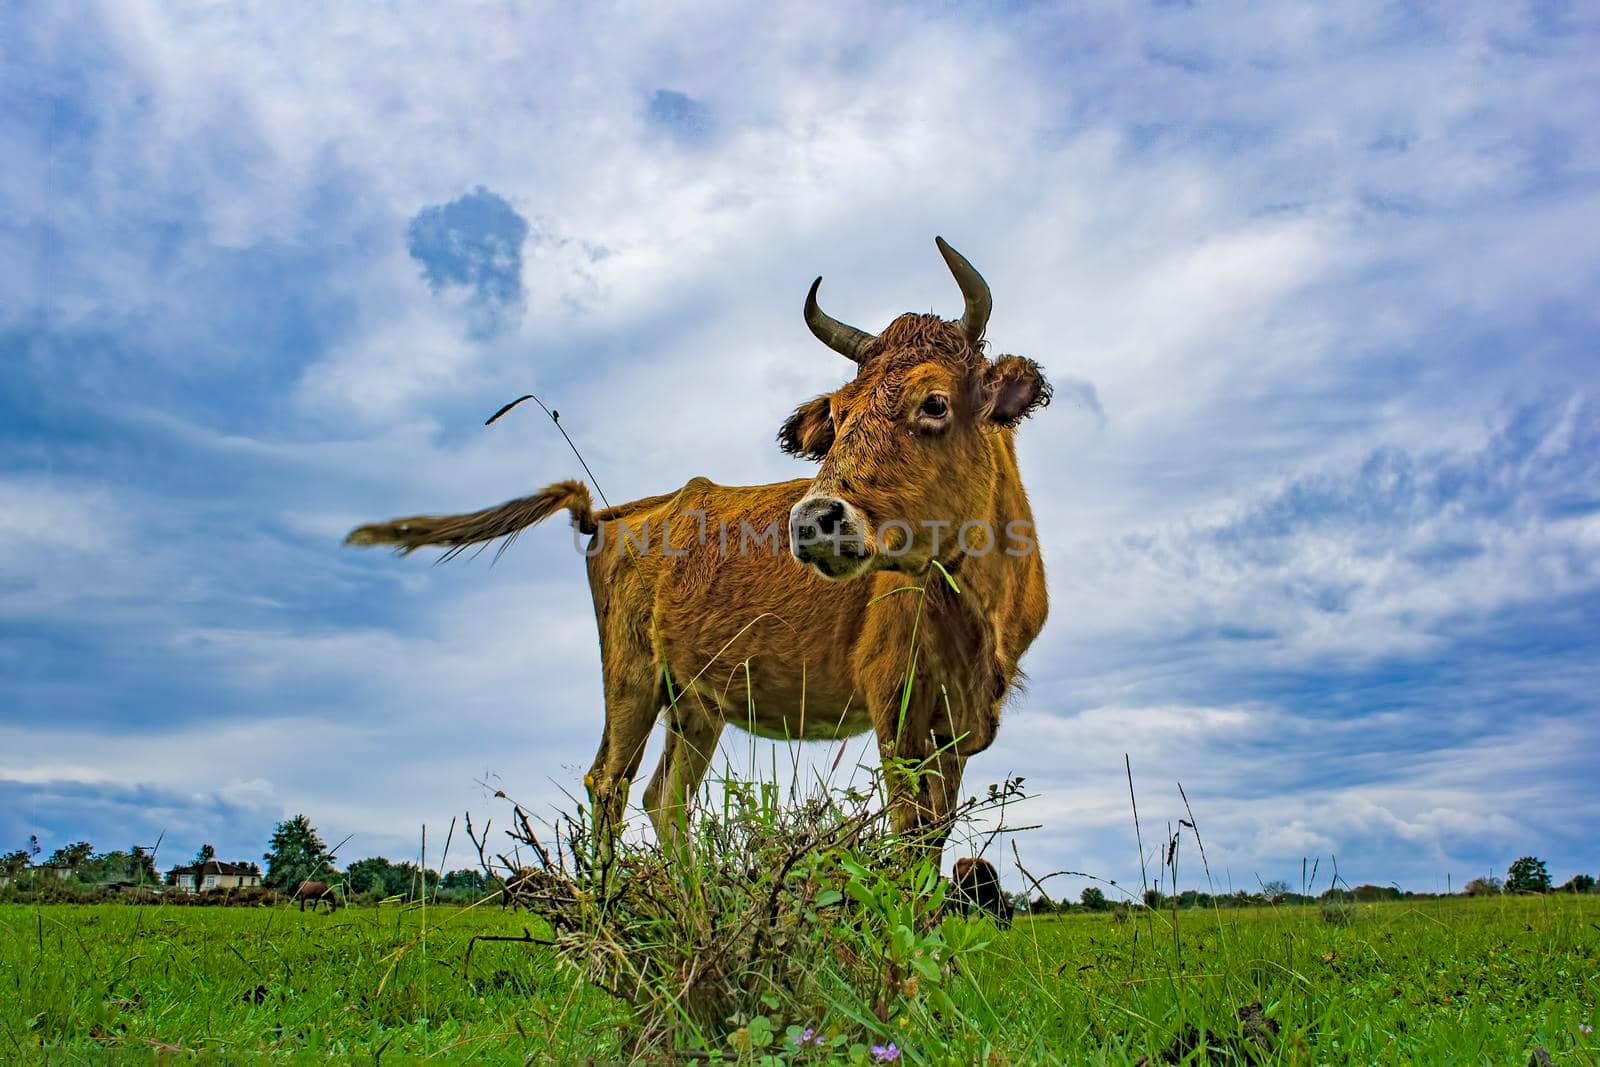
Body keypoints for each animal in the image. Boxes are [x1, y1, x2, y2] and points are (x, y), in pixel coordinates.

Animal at [348, 239, 1049, 851]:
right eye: (838, 415)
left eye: (934, 402)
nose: (813, 520)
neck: (975, 612)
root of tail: (615, 513)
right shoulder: (895, 712)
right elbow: (909, 837)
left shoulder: (956, 732)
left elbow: (932, 844)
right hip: (630, 679)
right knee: (609, 783)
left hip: (694, 705)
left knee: (664, 798)